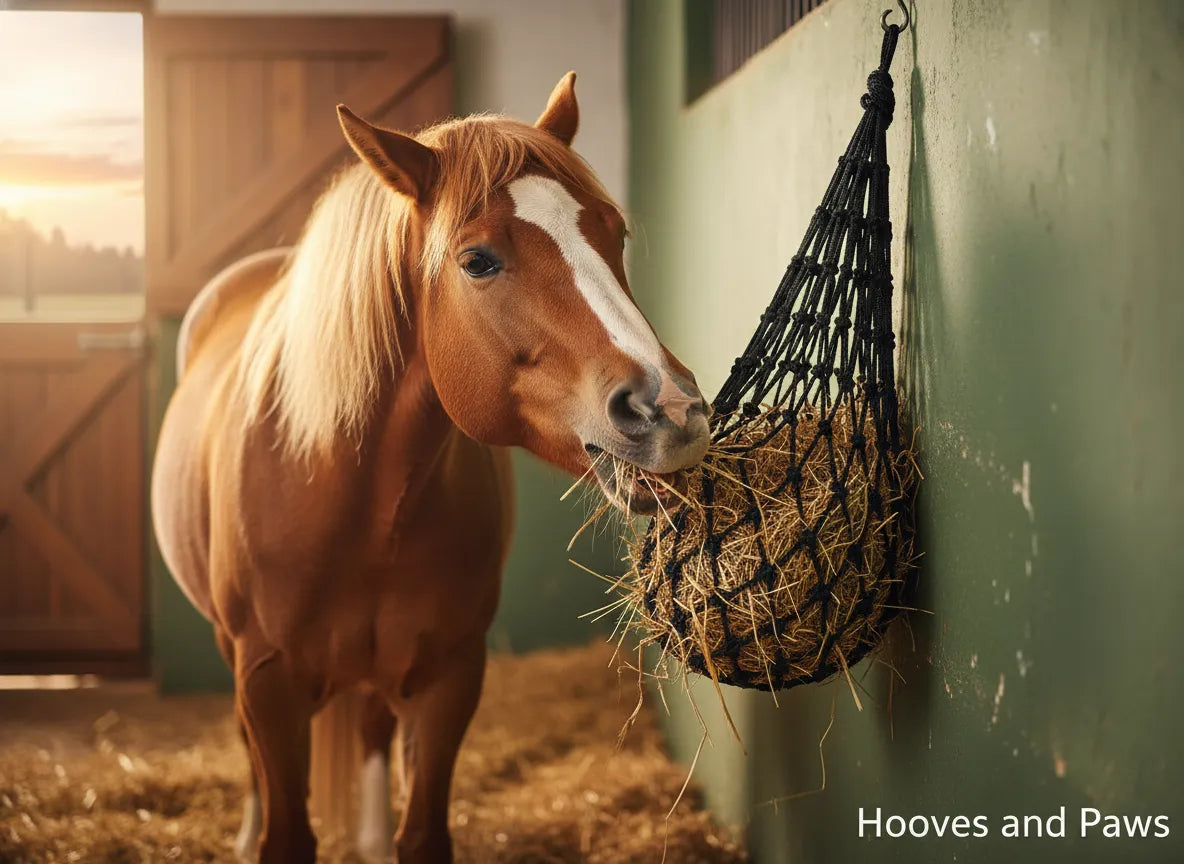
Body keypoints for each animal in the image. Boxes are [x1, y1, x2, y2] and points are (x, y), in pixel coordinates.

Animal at [150, 72, 710, 864]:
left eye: (614, 233)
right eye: (477, 260)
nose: (673, 411)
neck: (353, 496)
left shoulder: (450, 678)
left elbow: (421, 833)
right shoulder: (267, 682)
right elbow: (283, 825)